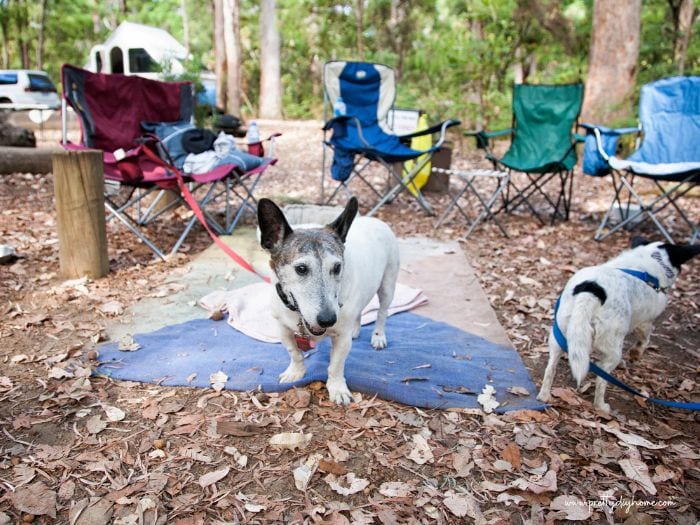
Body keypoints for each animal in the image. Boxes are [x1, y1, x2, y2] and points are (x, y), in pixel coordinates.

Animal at [258, 198, 400, 406]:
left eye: (337, 267)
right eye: (301, 268)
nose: (328, 320)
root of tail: (375, 220)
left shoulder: (341, 338)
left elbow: (336, 365)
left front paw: (337, 388)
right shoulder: (282, 328)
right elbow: (294, 352)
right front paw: (296, 372)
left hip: (387, 285)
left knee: (382, 312)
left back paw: (378, 336)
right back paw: (356, 330)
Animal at [540, 238, 696, 414]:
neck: (650, 262)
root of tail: (592, 292)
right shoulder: (645, 321)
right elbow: (645, 338)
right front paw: (635, 353)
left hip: (560, 333)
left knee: (551, 368)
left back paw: (544, 396)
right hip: (612, 346)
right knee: (602, 378)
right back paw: (601, 406)